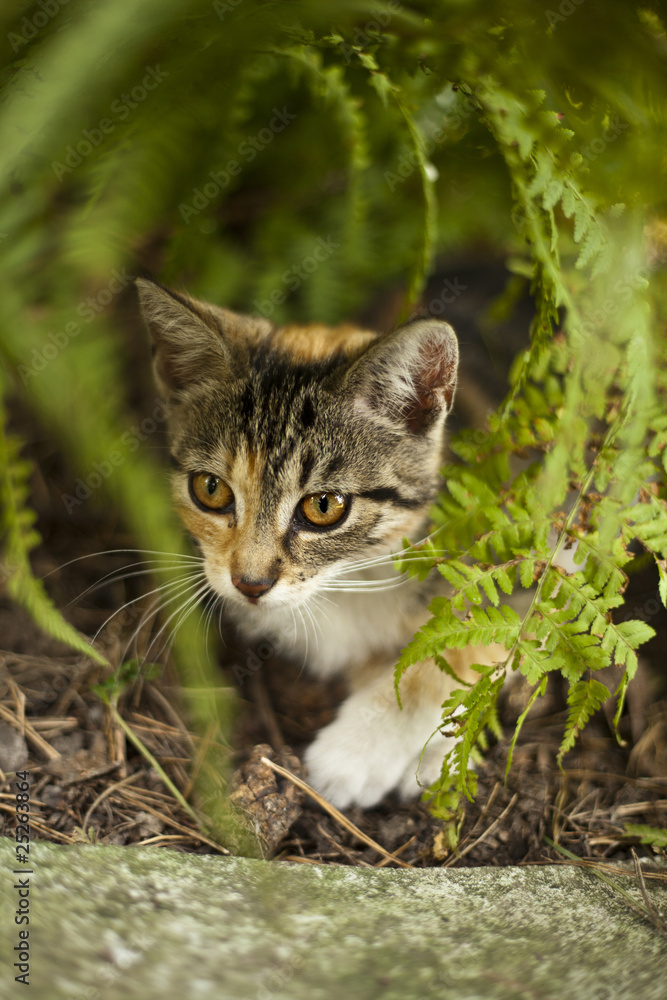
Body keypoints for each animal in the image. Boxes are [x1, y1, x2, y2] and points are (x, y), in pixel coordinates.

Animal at [138, 278, 504, 808]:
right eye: (210, 489)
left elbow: (468, 641)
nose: (250, 583)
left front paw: (356, 753)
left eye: (324, 506)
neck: (352, 576)